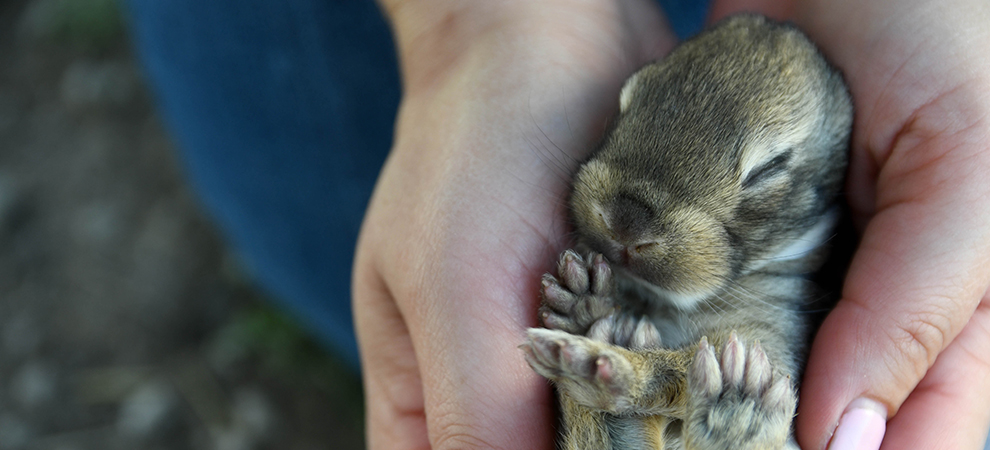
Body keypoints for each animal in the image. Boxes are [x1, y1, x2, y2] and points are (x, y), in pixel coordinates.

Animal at [524, 14, 856, 450]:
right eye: (626, 101)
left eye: (769, 168)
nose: (626, 223)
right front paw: (584, 310)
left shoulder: (769, 345)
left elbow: (679, 365)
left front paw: (602, 360)